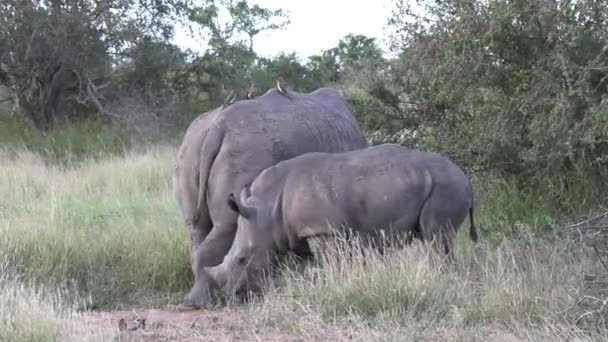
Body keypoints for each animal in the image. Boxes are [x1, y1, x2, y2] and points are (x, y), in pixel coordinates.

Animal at [173, 85, 368, 308]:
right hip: (246, 148)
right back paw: (200, 302)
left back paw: (195, 301)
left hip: (190, 148)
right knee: (227, 225)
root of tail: (217, 127)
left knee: (196, 227)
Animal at [209, 144, 480, 296]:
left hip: (446, 187)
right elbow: (310, 265)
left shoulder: (322, 230)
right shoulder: (299, 233)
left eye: (241, 259)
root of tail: (466, 177)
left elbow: (330, 263)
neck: (265, 210)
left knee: (437, 238)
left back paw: (443, 279)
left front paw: (333, 287)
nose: (232, 295)